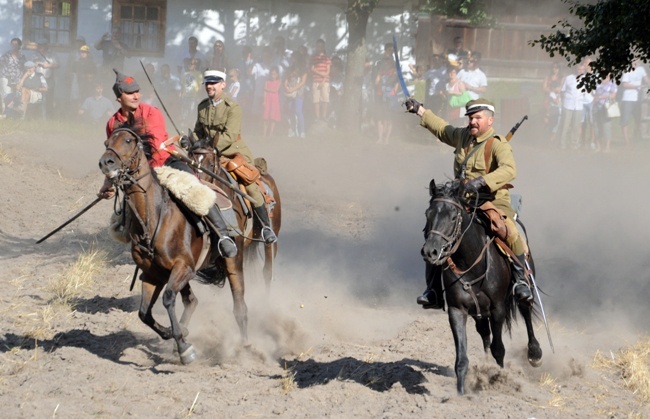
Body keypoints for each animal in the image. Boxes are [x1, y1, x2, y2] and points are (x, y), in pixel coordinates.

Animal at [98, 126, 278, 366]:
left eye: (128, 140)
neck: (155, 217)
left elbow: (167, 299)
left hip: (235, 259)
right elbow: (144, 313)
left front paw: (184, 348)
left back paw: (245, 347)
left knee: (241, 305)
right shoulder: (154, 274)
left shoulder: (183, 267)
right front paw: (176, 335)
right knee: (191, 300)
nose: (106, 162)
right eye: (107, 142)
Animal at [418, 179, 540, 396]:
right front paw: (461, 394)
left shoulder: (498, 309)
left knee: (526, 310)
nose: (430, 251)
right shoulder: (457, 310)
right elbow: (461, 359)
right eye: (428, 214)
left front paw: (501, 379)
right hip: (478, 312)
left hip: (524, 288)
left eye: (453, 216)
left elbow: (499, 348)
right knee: (484, 333)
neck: (470, 263)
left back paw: (534, 353)